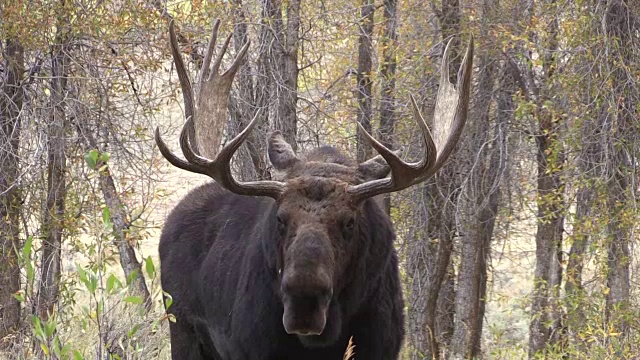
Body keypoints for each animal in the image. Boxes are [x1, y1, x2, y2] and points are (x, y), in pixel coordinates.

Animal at [157, 19, 472, 360]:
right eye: (280, 218)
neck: (322, 343)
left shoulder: (382, 347)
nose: (303, 301)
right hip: (182, 328)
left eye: (349, 222)